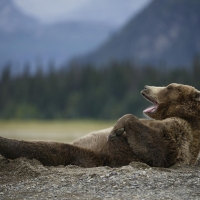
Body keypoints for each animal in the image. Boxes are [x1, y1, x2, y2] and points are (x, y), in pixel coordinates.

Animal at [0, 83, 200, 167]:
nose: (146, 87)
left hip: (92, 152)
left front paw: (116, 128)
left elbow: (157, 149)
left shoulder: (179, 135)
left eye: (168, 87)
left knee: (51, 148)